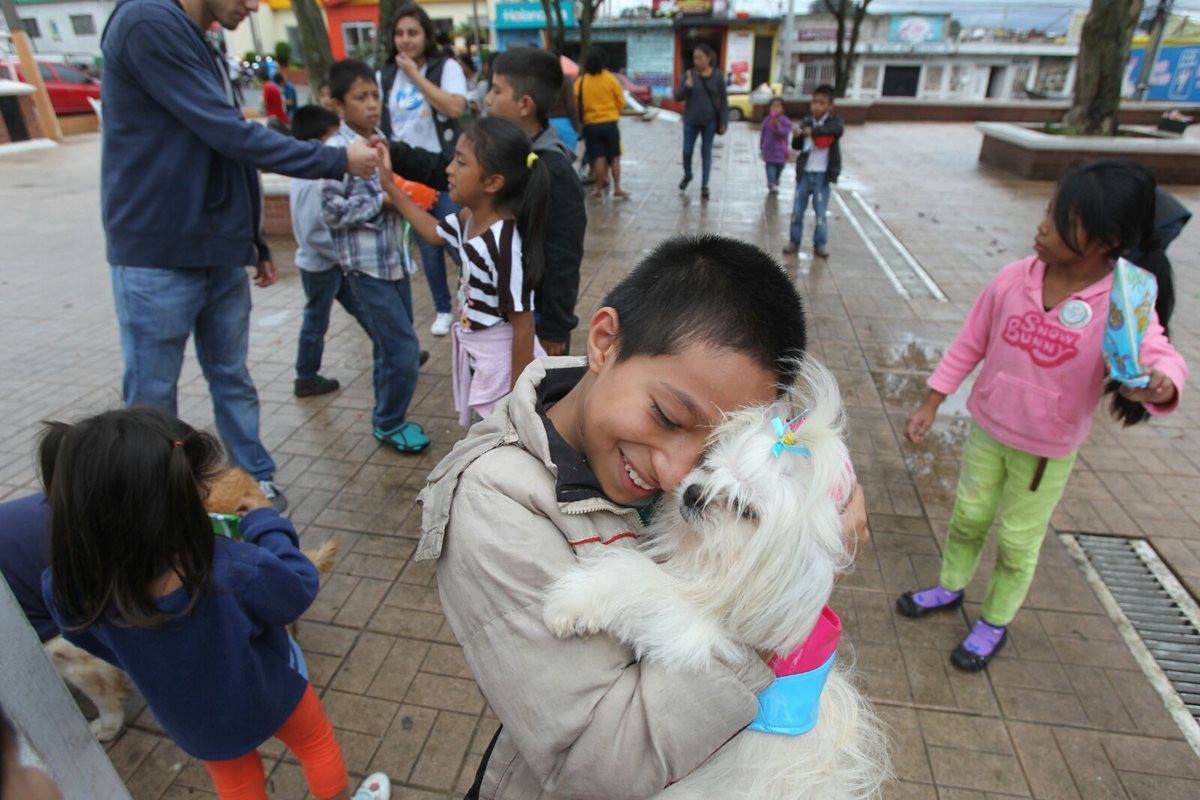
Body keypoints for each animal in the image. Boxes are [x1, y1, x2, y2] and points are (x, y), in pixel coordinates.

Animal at [544, 357, 892, 800]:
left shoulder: (697, 626)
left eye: (746, 510)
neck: (708, 562)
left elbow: (636, 578)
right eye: (709, 467)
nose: (694, 493)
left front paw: (571, 603)